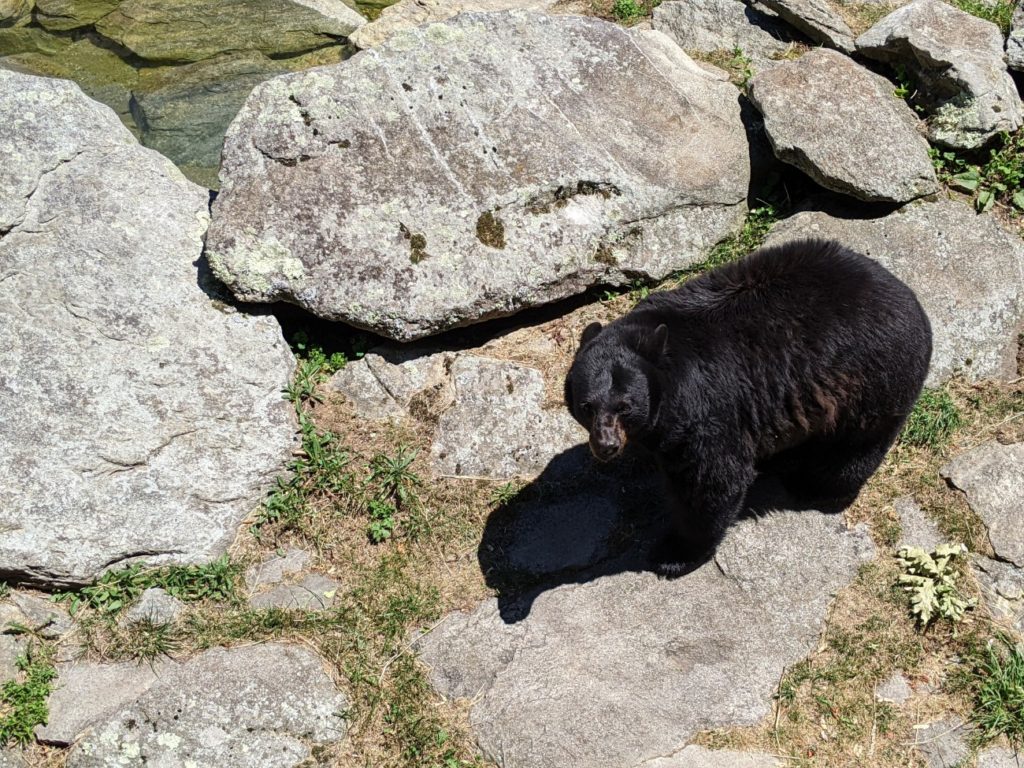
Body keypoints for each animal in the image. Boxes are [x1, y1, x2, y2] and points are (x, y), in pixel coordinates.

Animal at [565, 237, 933, 581]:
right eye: (586, 406)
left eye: (625, 406)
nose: (606, 445)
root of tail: (911, 299)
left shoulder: (708, 408)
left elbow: (711, 481)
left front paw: (674, 553)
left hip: (871, 382)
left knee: (853, 446)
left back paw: (814, 485)